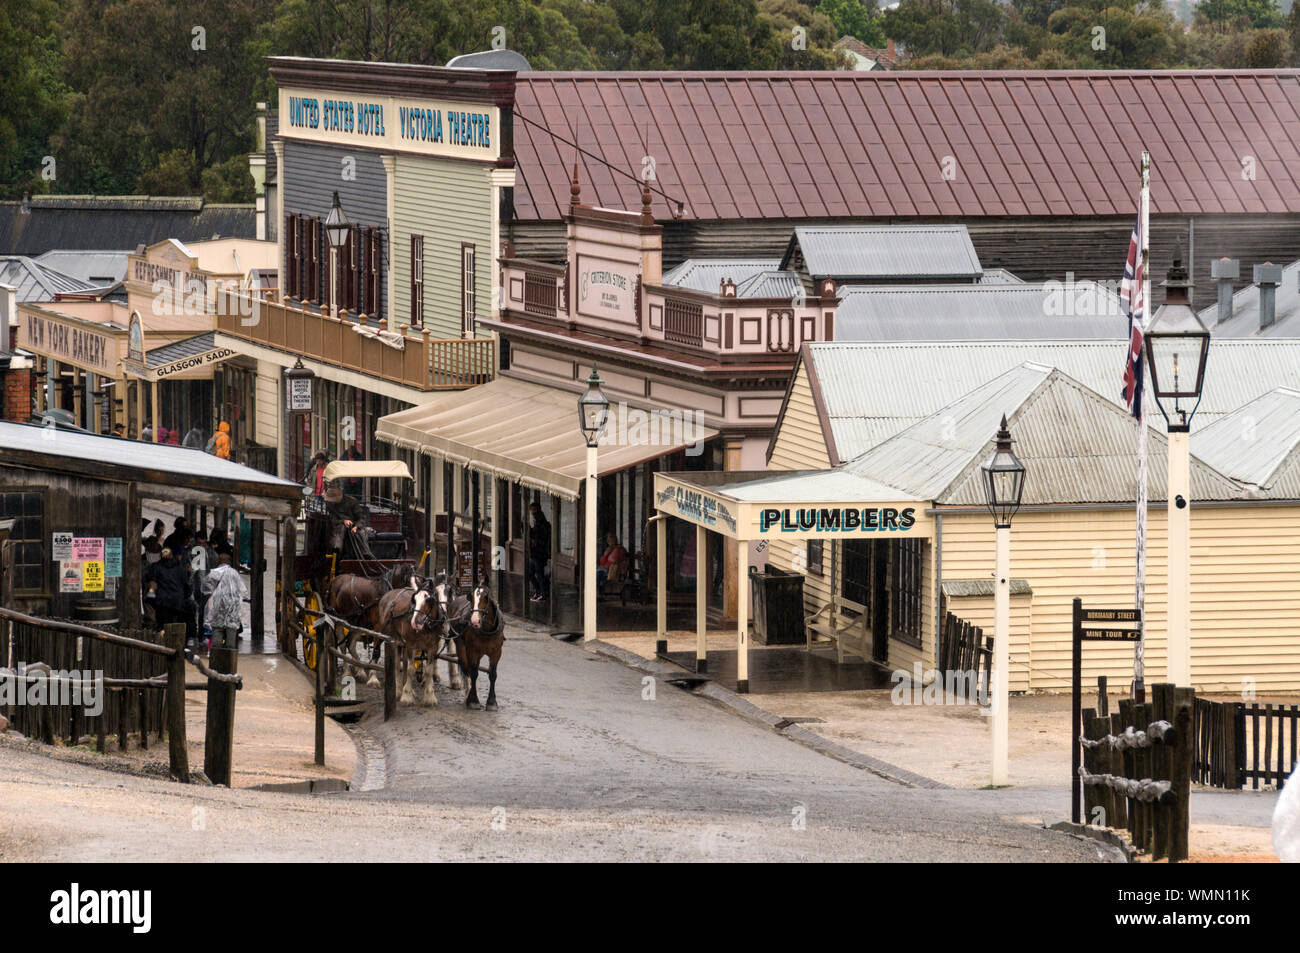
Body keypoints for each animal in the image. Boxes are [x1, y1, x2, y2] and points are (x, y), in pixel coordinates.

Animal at [449, 579, 504, 707]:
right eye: (471, 597)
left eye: (486, 596)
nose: (474, 621)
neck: (487, 631)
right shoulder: (473, 651)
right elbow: (473, 673)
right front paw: (473, 700)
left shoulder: (497, 653)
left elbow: (492, 674)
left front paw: (492, 702)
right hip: (461, 647)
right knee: (466, 669)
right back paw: (467, 694)